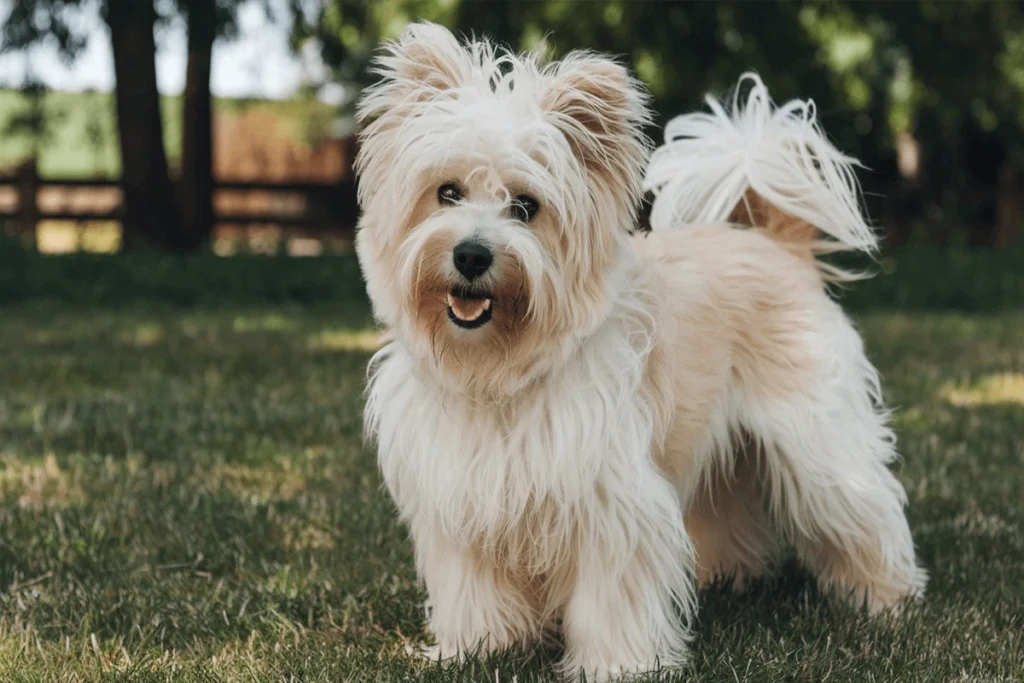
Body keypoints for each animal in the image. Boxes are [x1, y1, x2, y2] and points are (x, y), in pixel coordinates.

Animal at [354, 22, 929, 683]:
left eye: (526, 206)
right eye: (446, 192)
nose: (471, 254)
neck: (499, 369)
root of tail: (774, 243)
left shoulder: (611, 502)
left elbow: (611, 596)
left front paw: (615, 666)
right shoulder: (461, 502)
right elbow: (474, 588)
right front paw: (478, 649)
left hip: (822, 447)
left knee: (866, 511)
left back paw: (885, 600)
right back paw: (726, 577)